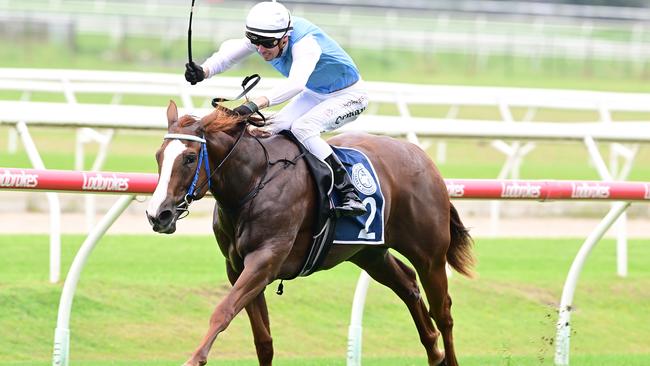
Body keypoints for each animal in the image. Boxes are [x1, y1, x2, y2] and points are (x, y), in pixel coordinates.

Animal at [146, 101, 470, 366]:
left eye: (189, 158)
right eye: (159, 156)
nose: (158, 214)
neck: (255, 180)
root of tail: (421, 157)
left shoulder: (265, 260)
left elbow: (223, 311)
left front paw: (194, 359)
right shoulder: (237, 267)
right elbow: (263, 341)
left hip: (429, 254)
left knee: (444, 312)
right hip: (369, 252)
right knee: (408, 286)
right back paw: (434, 352)